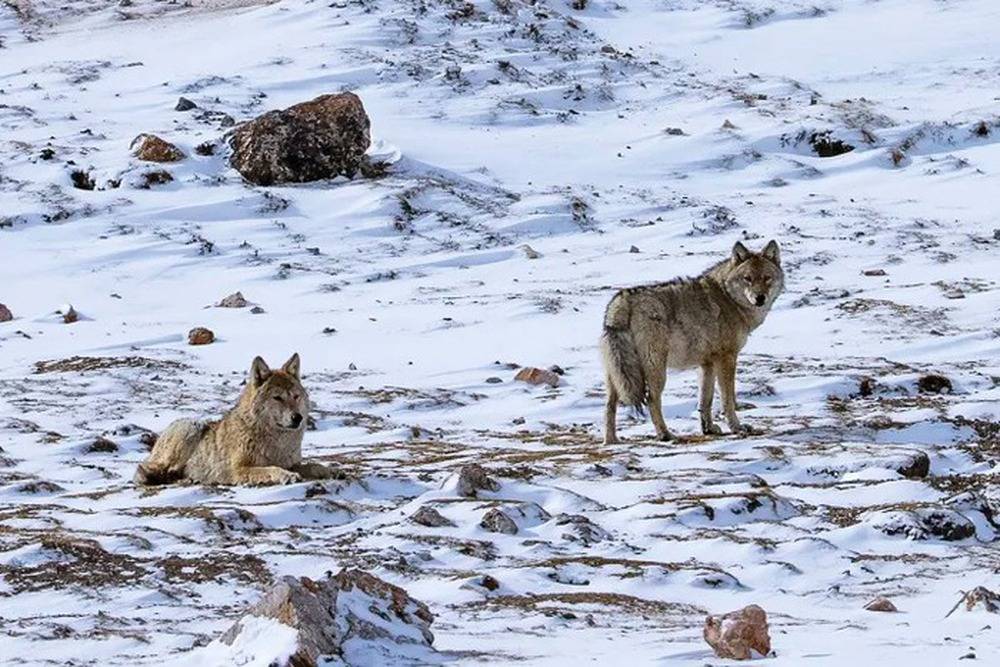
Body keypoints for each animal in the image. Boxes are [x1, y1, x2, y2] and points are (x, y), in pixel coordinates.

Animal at [133, 354, 334, 486]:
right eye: (277, 398)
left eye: (295, 396)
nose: (297, 417)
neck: (276, 443)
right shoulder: (238, 470)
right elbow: (269, 469)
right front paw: (286, 476)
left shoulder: (293, 463)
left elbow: (313, 465)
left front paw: (331, 470)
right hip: (192, 426)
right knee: (155, 472)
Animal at [600, 240, 780, 444]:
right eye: (747, 278)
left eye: (766, 278)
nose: (760, 298)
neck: (729, 299)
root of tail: (622, 301)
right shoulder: (727, 358)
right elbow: (728, 400)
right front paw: (737, 427)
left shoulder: (707, 364)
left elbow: (705, 400)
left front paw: (708, 429)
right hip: (656, 370)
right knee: (651, 399)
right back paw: (666, 434)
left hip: (618, 375)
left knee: (609, 405)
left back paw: (611, 441)